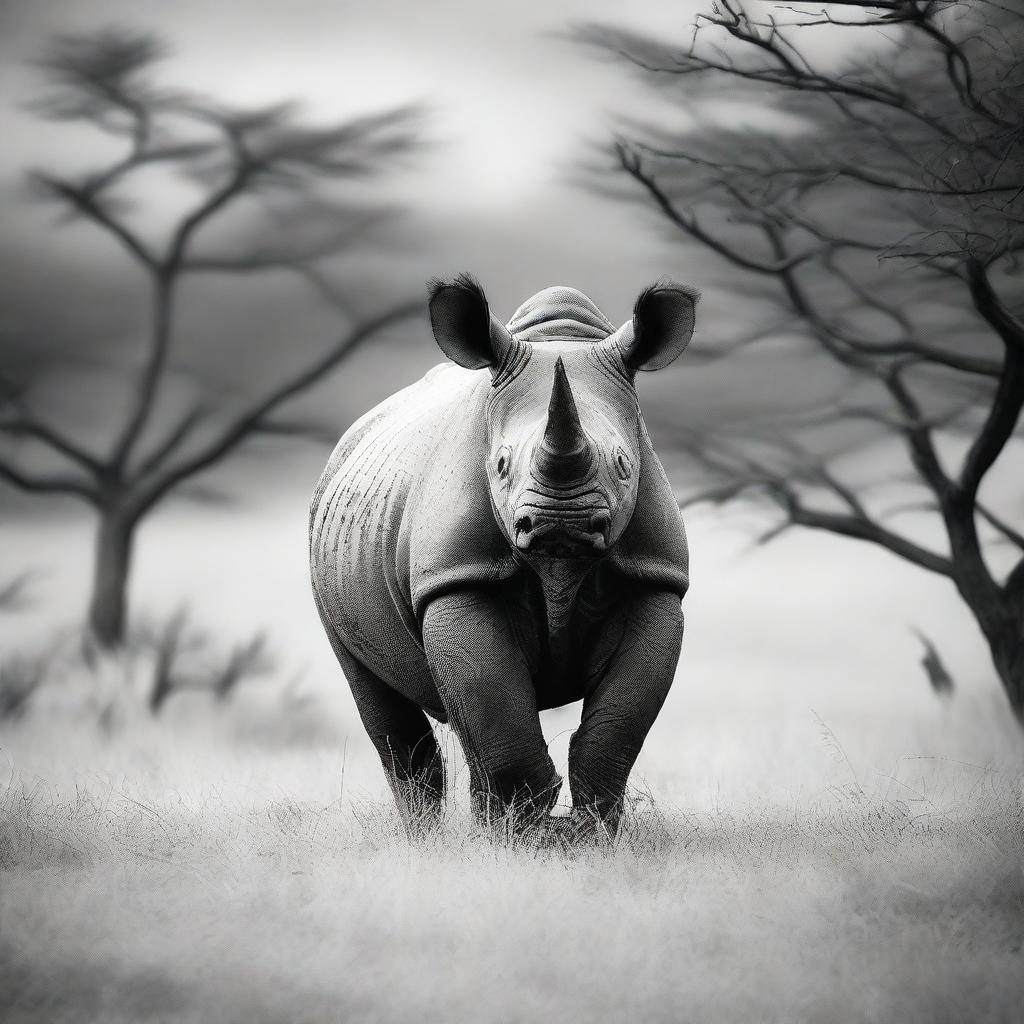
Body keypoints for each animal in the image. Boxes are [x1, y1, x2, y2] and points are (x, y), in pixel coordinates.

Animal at [311, 276, 696, 835]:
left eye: (625, 464)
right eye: (499, 464)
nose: (562, 522)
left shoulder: (655, 578)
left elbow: (618, 729)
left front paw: (589, 837)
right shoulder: (457, 576)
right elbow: (492, 705)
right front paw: (520, 839)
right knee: (382, 705)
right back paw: (428, 839)